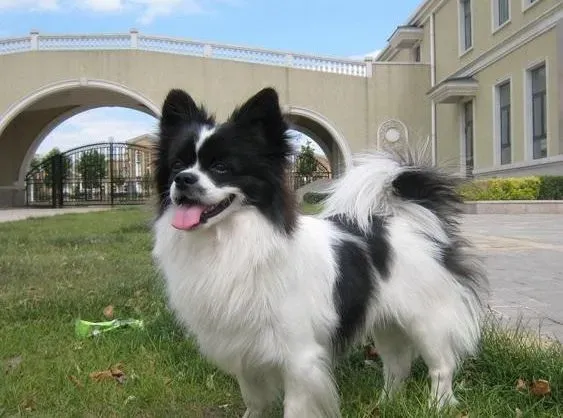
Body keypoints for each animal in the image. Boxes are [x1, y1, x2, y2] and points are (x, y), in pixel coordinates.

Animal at [151, 86, 490, 416]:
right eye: (177, 165)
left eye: (221, 167)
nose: (183, 179)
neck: (229, 239)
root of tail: (413, 217)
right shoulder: (244, 349)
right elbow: (255, 400)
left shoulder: (299, 357)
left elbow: (294, 407)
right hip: (387, 322)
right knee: (397, 365)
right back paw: (386, 404)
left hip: (425, 319)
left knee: (441, 366)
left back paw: (436, 406)